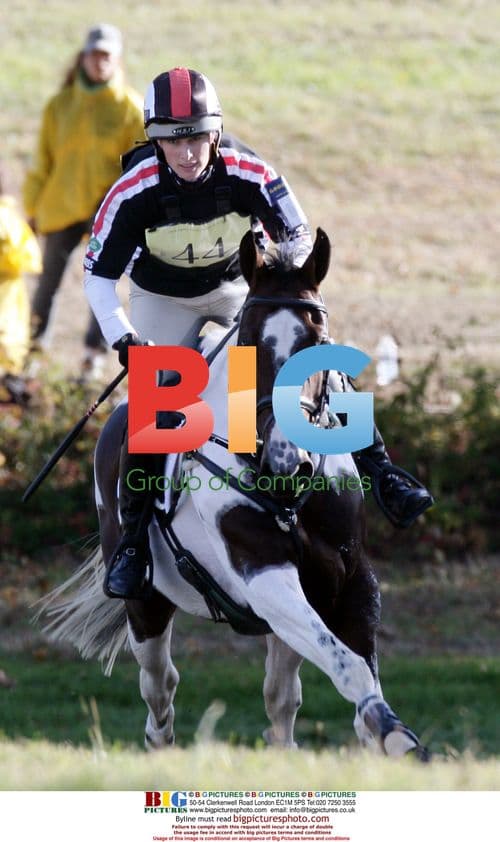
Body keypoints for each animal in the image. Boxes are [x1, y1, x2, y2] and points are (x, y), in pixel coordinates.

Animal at [40, 228, 427, 759]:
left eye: (318, 341)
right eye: (248, 341)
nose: (288, 461)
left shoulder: (350, 577)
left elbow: (357, 667)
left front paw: (384, 738)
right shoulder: (262, 575)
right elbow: (347, 665)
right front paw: (394, 735)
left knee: (280, 697)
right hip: (146, 604)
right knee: (160, 684)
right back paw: (159, 743)